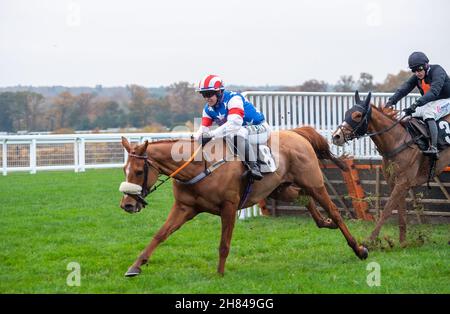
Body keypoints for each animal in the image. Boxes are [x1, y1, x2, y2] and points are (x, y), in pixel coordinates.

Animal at [120, 126, 370, 276]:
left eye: (139, 171)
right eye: (125, 169)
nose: (127, 205)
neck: (199, 167)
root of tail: (297, 133)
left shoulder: (229, 207)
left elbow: (224, 244)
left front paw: (220, 274)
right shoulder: (185, 207)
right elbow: (160, 235)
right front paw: (135, 266)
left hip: (314, 182)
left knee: (334, 211)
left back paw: (358, 248)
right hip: (279, 189)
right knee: (303, 197)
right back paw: (324, 222)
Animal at [330, 91, 450, 245]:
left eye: (357, 115)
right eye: (346, 112)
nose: (336, 136)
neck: (397, 141)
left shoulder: (402, 182)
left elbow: (387, 210)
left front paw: (370, 241)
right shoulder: (395, 182)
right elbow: (401, 211)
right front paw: (402, 243)